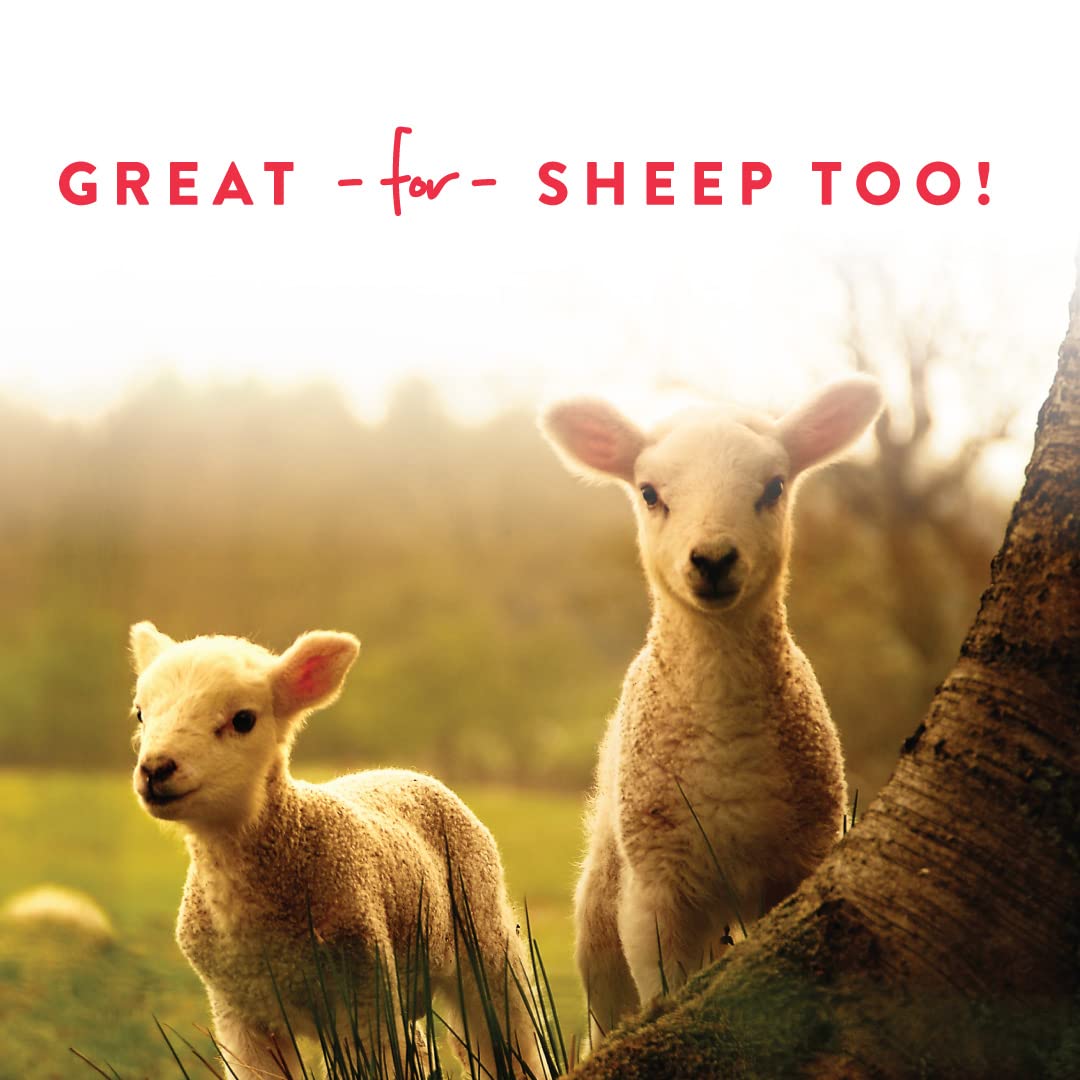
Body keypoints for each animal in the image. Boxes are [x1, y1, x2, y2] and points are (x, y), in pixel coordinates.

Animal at [128, 622, 544, 1079]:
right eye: (141, 713)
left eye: (243, 719)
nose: (156, 770)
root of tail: (406, 771)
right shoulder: (241, 1013)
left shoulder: (364, 993)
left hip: (483, 935)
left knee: (510, 1035)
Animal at [539, 375, 884, 1044]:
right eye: (649, 493)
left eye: (774, 487)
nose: (714, 559)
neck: (726, 742)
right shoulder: (657, 890)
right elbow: (662, 993)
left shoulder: (797, 864)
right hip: (602, 904)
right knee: (605, 1010)